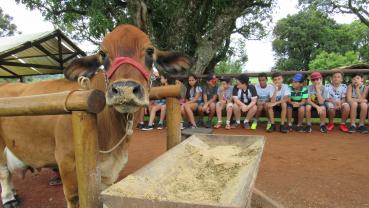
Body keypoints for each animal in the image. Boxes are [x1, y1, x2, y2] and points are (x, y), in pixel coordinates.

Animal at [0, 24, 191, 208]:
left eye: (150, 51)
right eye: (102, 54)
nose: (125, 89)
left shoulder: (106, 173)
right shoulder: (67, 163)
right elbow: (74, 199)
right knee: (4, 172)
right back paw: (9, 198)